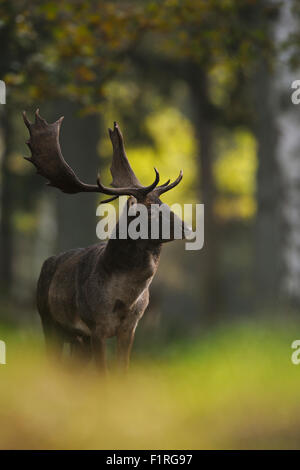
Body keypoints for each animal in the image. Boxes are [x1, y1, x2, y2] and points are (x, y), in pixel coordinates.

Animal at [23, 109, 186, 370]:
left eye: (165, 204)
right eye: (148, 211)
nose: (186, 228)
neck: (123, 301)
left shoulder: (129, 328)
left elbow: (122, 371)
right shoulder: (96, 326)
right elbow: (103, 373)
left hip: (77, 339)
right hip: (48, 321)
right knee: (54, 360)